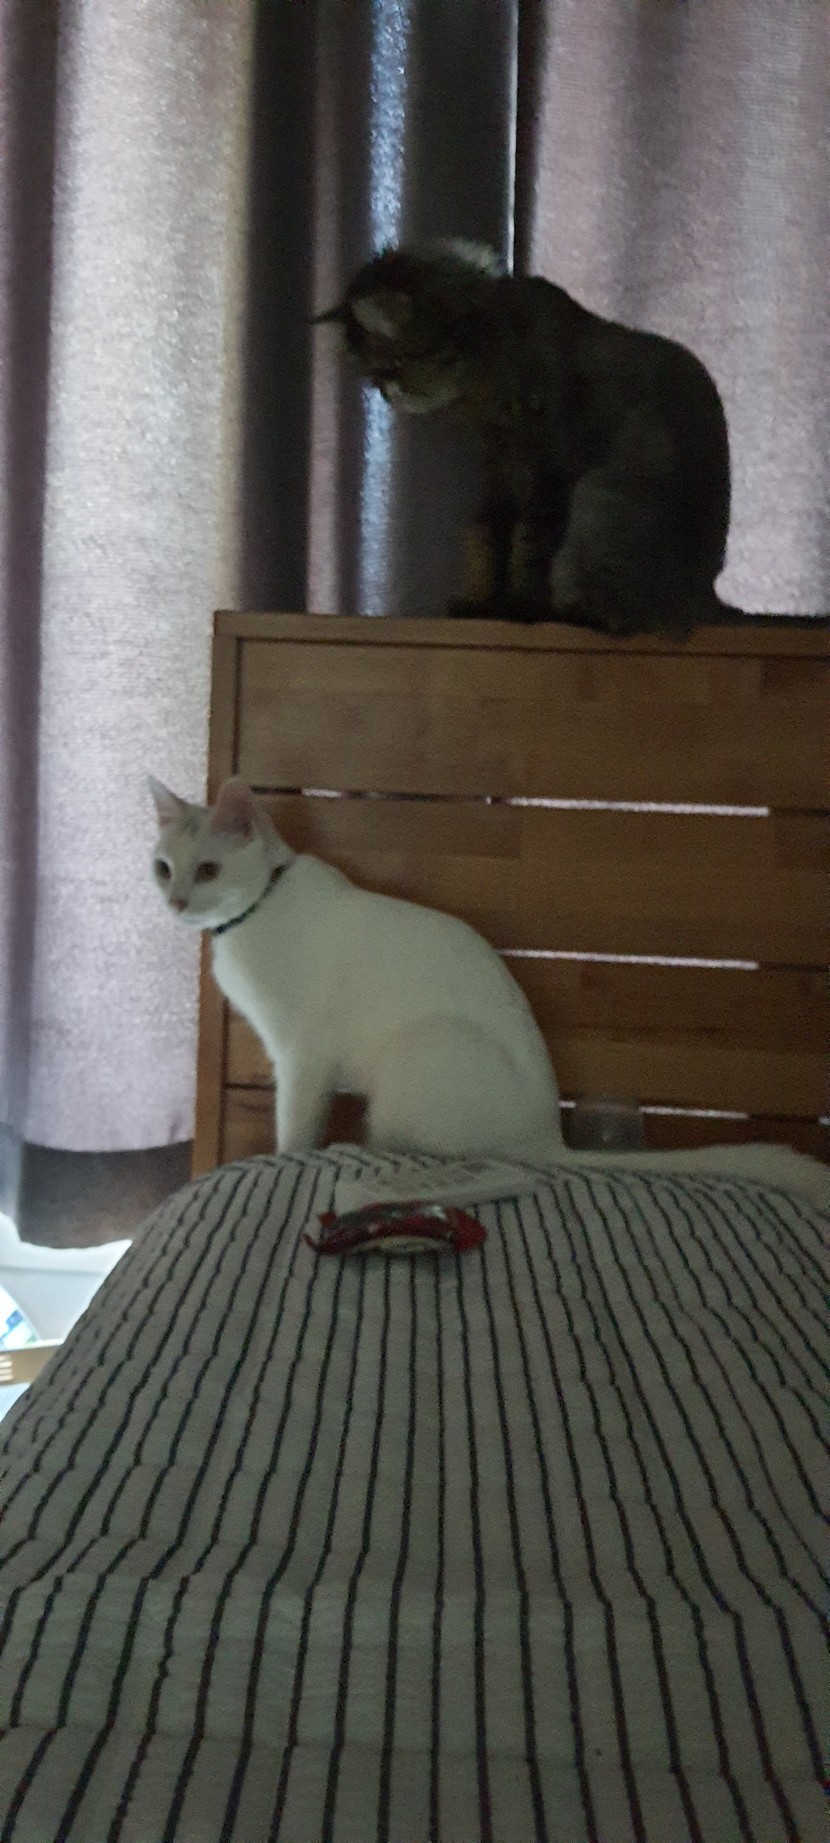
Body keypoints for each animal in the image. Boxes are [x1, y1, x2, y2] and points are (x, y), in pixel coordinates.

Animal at [149, 775, 827, 1204]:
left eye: (207, 870)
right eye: (163, 867)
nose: (175, 901)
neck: (257, 912)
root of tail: (546, 1137)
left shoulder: (302, 1057)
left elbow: (295, 1129)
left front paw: (289, 1157)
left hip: (420, 1054)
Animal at [317, 241, 822, 637]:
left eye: (390, 368)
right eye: (370, 377)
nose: (384, 394)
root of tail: (705, 598)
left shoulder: (551, 468)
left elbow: (528, 547)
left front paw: (518, 607)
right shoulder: (501, 469)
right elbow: (484, 536)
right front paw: (480, 603)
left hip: (598, 498)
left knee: (617, 621)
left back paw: (562, 613)